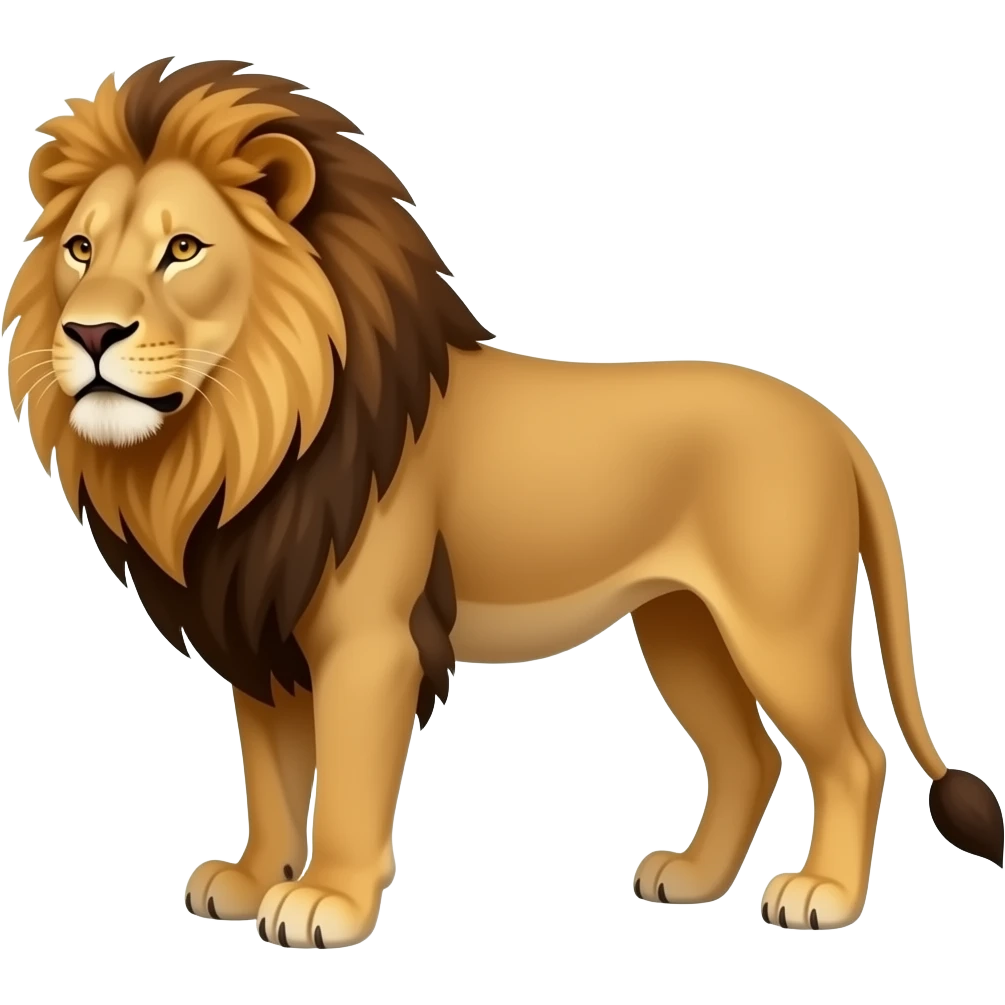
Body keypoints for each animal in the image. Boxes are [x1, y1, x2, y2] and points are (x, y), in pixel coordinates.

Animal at [5, 58, 1002, 947]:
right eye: (81, 248)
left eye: (183, 249)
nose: (89, 331)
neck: (240, 440)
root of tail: (835, 428)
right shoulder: (261, 625)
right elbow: (273, 778)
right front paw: (252, 881)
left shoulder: (369, 641)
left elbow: (348, 786)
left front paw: (325, 901)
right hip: (682, 626)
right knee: (747, 756)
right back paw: (690, 878)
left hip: (777, 624)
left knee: (853, 754)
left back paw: (821, 896)